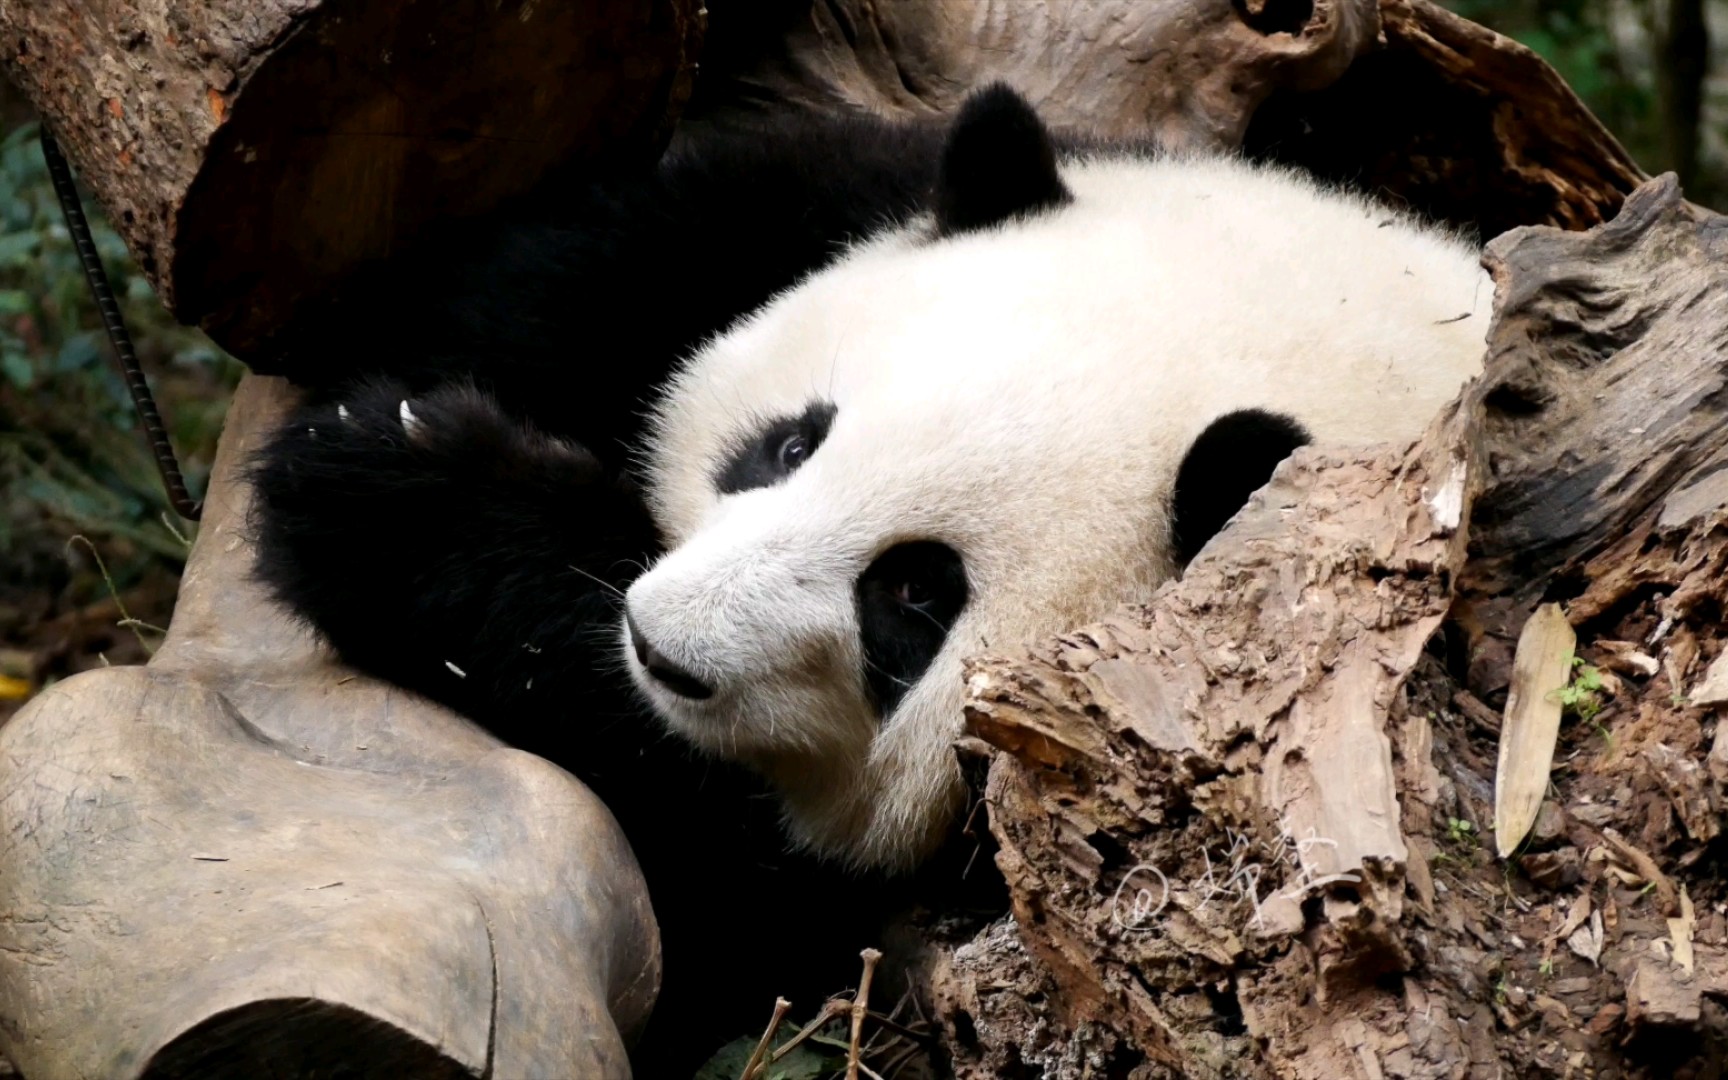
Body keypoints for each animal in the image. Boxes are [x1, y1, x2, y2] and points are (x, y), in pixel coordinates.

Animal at [252, 82, 1486, 1064]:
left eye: (913, 595)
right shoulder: (838, 198)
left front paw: (397, 493)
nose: (660, 644)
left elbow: (753, 882)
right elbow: (603, 259)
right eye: (793, 442)